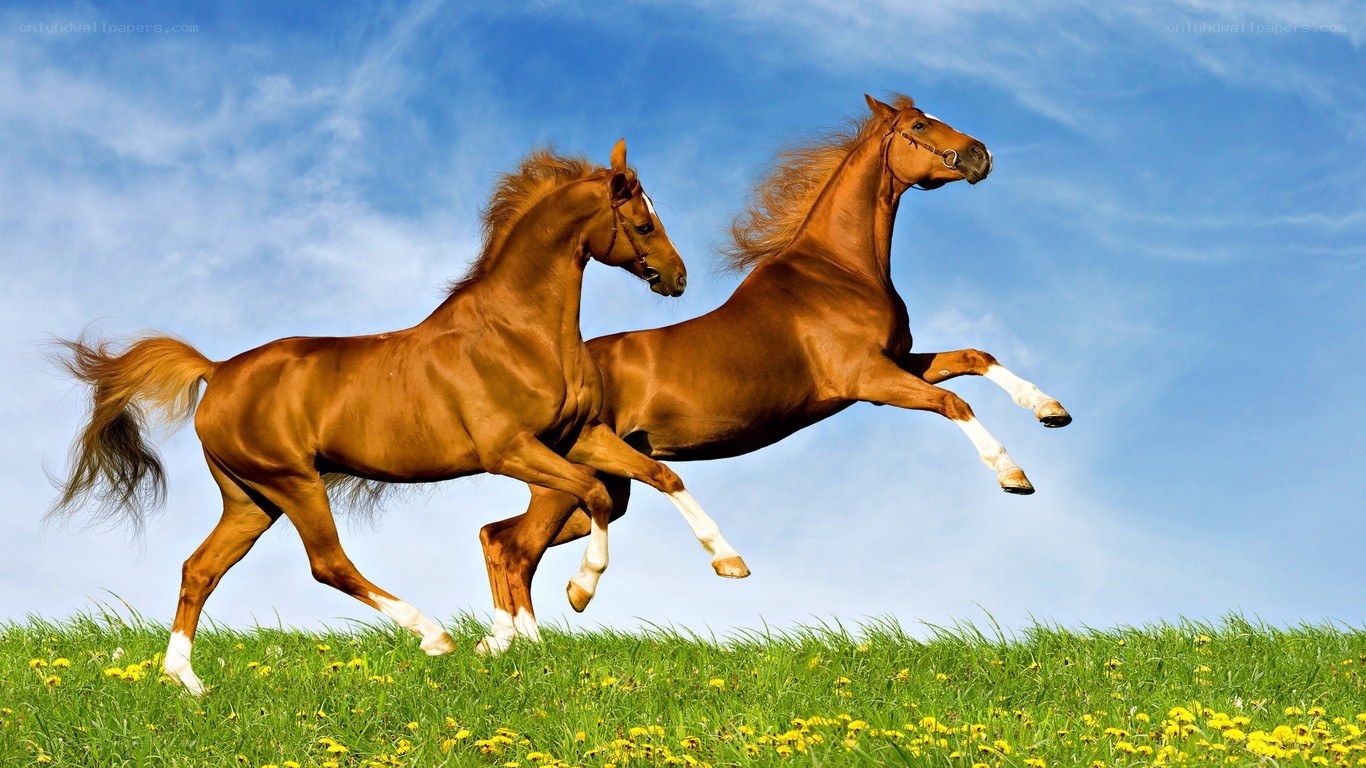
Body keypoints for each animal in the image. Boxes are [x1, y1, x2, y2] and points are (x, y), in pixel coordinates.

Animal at [50, 139, 743, 693]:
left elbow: (662, 476)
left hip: (250, 498)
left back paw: (185, 680)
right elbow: (592, 496)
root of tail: (216, 371)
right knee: (327, 563)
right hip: (293, 482)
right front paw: (577, 593)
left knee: (200, 570)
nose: (678, 278)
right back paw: (433, 634)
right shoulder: (511, 450)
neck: (518, 333)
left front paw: (729, 561)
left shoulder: (578, 437)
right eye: (644, 224)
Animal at [476, 94, 1072, 639]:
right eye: (920, 126)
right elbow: (954, 401)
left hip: (602, 485)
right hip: (568, 483)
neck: (840, 271)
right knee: (515, 549)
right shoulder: (870, 379)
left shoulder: (900, 361)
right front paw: (1013, 475)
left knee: (499, 537)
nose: (980, 155)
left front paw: (1050, 410)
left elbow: (976, 358)